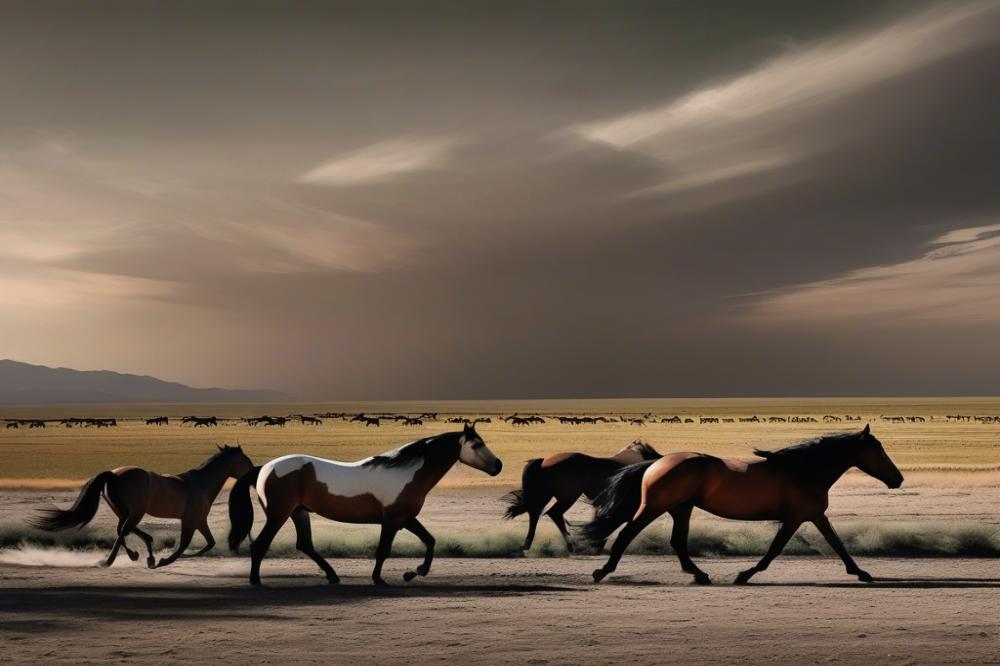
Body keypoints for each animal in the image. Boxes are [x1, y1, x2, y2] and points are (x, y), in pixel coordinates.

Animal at [31, 445, 254, 569]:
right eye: (247, 461)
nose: (254, 476)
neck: (201, 484)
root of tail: (114, 474)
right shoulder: (191, 520)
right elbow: (186, 545)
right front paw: (165, 560)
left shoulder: (199, 520)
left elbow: (209, 543)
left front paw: (160, 559)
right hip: (135, 512)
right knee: (123, 531)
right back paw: (111, 561)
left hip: (125, 511)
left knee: (123, 530)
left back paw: (140, 554)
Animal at [228, 424, 501, 586]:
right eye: (476, 445)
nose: (498, 466)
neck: (407, 473)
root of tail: (264, 468)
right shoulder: (392, 521)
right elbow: (383, 550)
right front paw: (379, 579)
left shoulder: (405, 518)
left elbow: (430, 540)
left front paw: (414, 572)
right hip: (279, 515)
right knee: (260, 544)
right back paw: (255, 581)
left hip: (299, 513)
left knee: (304, 544)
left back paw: (332, 576)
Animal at [501, 440, 662, 552]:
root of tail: (543, 461)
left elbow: (598, 519)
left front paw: (596, 543)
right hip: (568, 497)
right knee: (554, 513)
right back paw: (571, 546)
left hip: (546, 495)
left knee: (535, 513)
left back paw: (527, 545)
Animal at [581, 426, 903, 585]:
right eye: (878, 450)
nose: (898, 479)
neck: (803, 470)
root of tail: (657, 462)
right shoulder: (795, 518)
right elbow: (773, 552)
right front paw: (744, 575)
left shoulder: (813, 515)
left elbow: (838, 544)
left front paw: (861, 573)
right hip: (654, 507)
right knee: (627, 534)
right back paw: (602, 572)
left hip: (681, 508)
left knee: (678, 542)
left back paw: (700, 575)